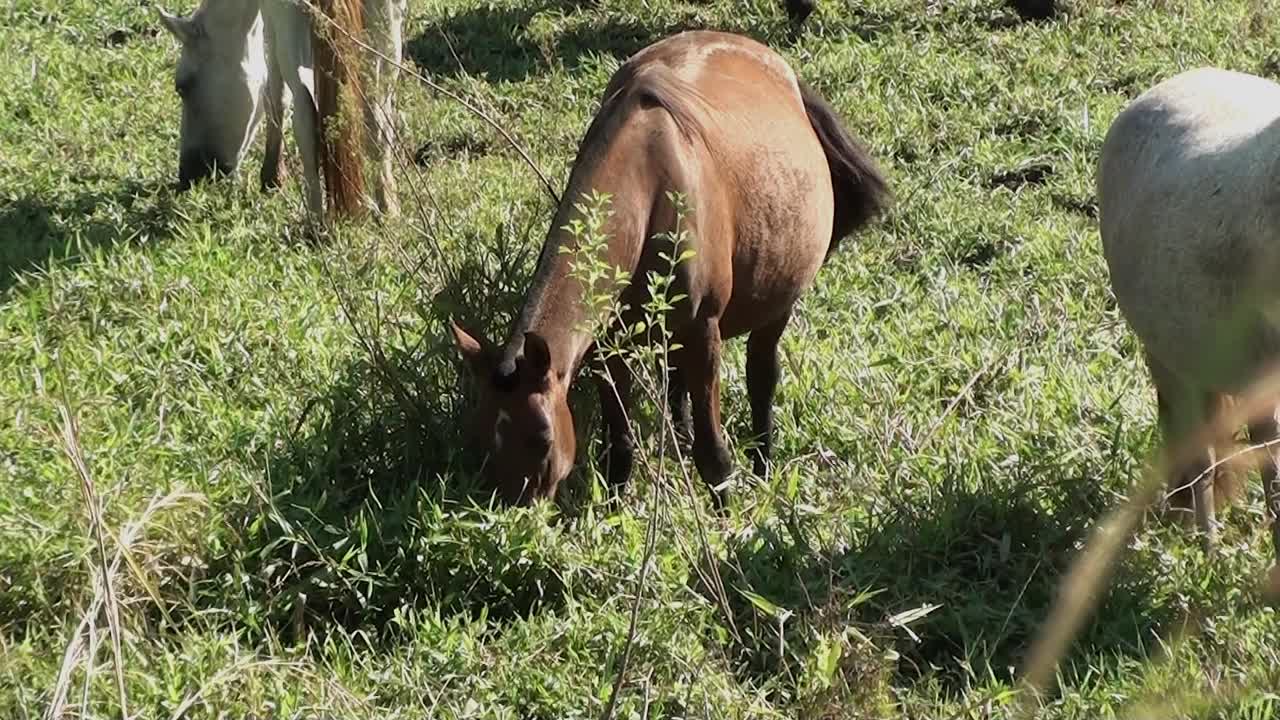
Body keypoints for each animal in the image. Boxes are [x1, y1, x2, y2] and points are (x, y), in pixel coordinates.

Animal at [156, 0, 401, 219]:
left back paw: (315, 223)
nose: (189, 176)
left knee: (305, 114)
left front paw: (272, 177)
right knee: (377, 120)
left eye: (182, 86)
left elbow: (275, 89)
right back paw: (387, 207)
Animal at [453, 30, 890, 504]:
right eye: (482, 437)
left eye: (543, 439)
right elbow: (620, 447)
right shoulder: (610, 348)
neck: (648, 189)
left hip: (777, 304)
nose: (517, 511)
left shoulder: (704, 333)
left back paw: (762, 467)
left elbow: (714, 457)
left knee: (761, 378)